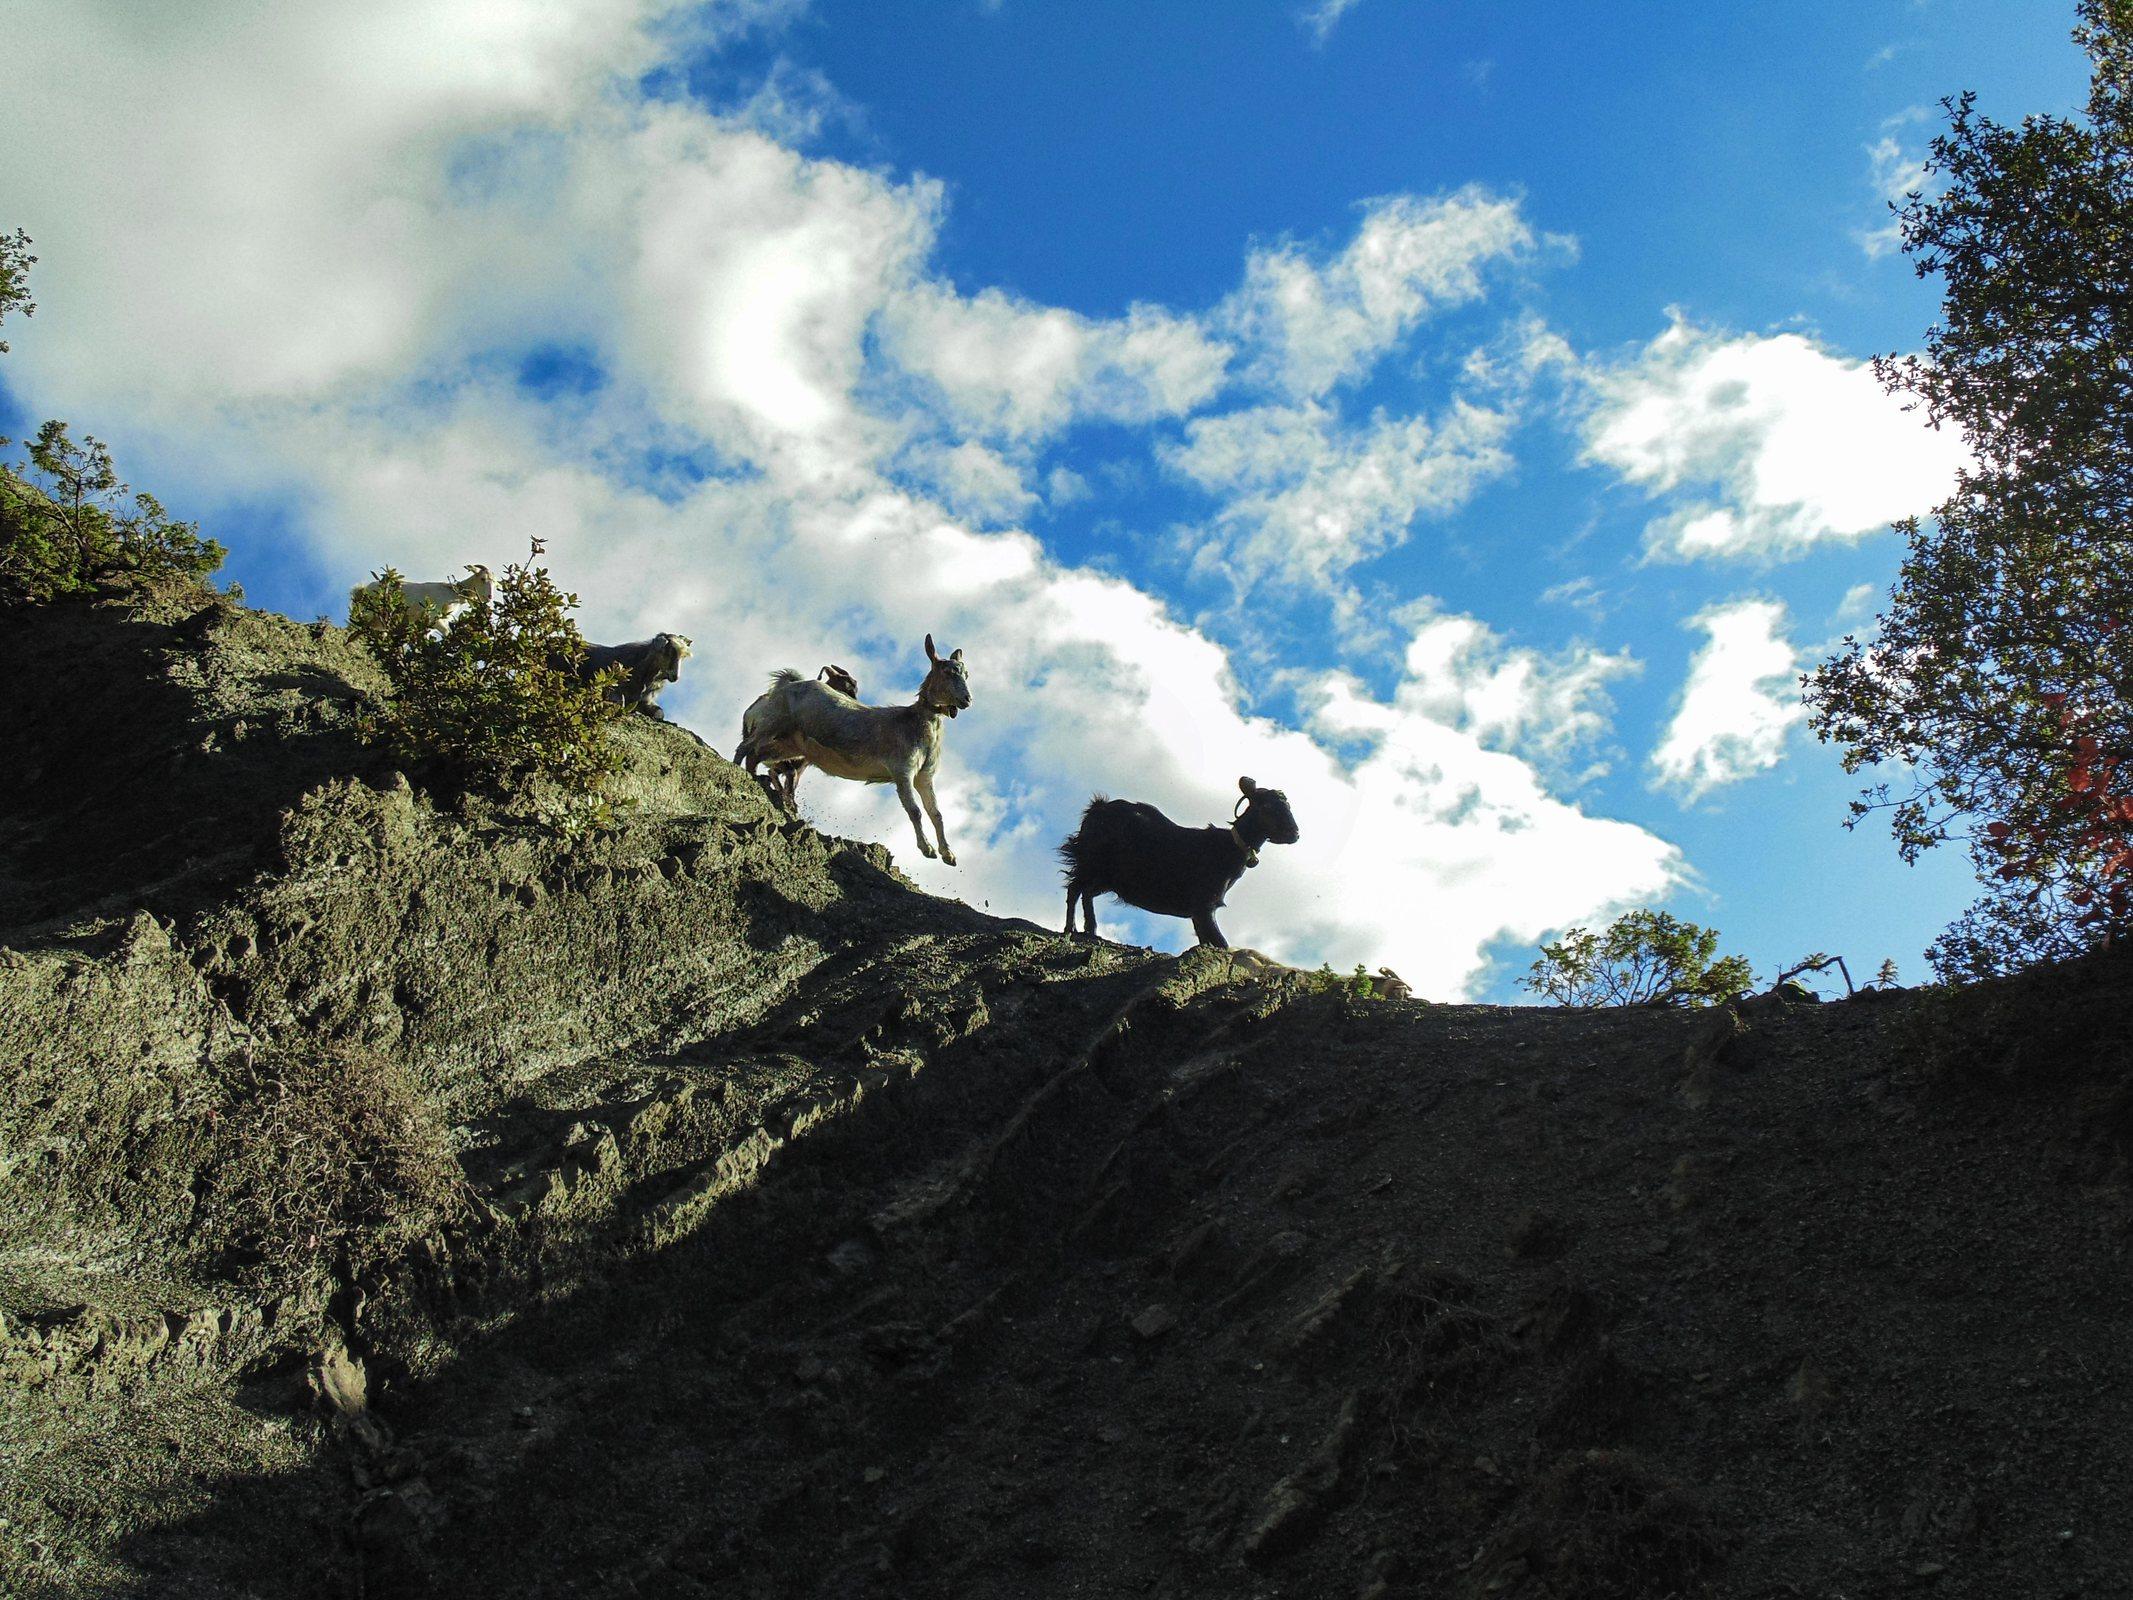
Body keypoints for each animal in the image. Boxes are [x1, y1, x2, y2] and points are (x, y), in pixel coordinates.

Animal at [350, 563, 491, 624]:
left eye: (494, 582)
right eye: (483, 578)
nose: (490, 597)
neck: (453, 592)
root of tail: (362, 589)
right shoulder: (435, 617)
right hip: (369, 612)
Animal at [1058, 776, 1299, 948]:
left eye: (1288, 806)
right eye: (1266, 807)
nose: (1294, 834)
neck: (1227, 848)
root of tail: (1097, 807)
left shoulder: (1199, 912)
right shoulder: (1204, 905)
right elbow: (1221, 944)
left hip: (1105, 877)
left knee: (1086, 892)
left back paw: (1090, 930)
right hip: (1091, 863)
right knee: (1074, 889)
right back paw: (1070, 930)